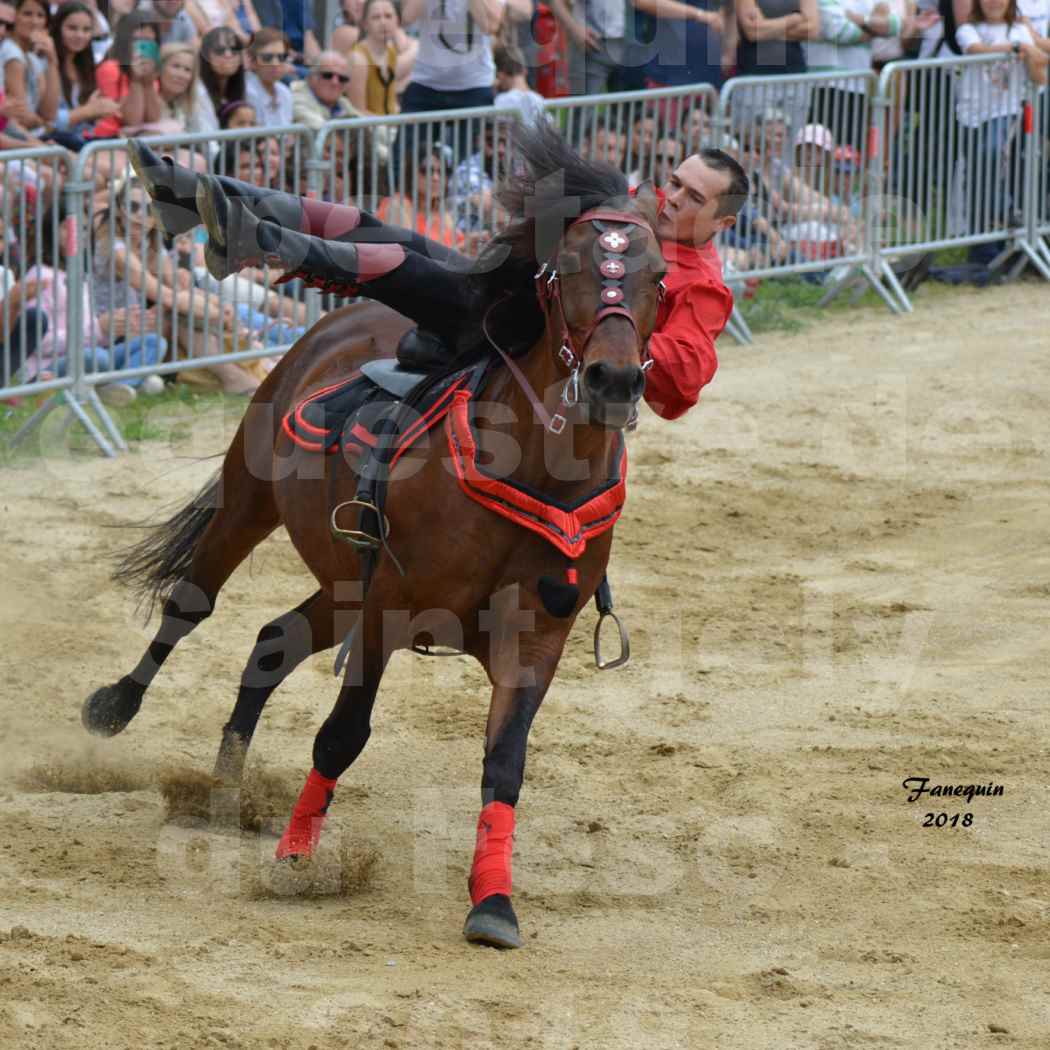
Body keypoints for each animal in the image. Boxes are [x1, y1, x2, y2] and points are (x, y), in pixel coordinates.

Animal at [81, 127, 663, 949]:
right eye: (574, 268)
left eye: (660, 278)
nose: (614, 380)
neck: (533, 463)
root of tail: (335, 327)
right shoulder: (389, 610)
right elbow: (341, 734)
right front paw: (298, 859)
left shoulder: (534, 637)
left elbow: (505, 762)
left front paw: (493, 902)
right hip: (251, 500)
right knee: (192, 605)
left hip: (342, 582)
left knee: (273, 641)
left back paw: (226, 794)